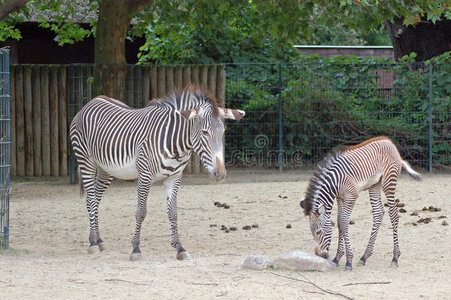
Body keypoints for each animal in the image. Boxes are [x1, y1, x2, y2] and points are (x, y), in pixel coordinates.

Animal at [71, 85, 245, 262]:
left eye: (223, 132)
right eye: (205, 132)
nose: (220, 173)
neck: (176, 145)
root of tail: (92, 102)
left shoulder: (174, 178)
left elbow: (173, 213)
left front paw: (180, 248)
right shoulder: (145, 176)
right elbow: (141, 213)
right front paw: (136, 249)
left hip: (106, 169)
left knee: (96, 199)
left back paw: (99, 240)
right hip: (86, 160)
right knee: (91, 200)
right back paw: (93, 243)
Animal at [300, 137, 424, 270]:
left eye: (318, 232)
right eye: (311, 232)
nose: (319, 255)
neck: (335, 181)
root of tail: (389, 142)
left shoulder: (351, 196)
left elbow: (343, 223)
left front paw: (348, 261)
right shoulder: (340, 198)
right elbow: (339, 223)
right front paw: (337, 258)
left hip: (389, 182)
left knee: (394, 214)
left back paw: (395, 257)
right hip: (375, 184)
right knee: (378, 212)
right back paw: (364, 257)